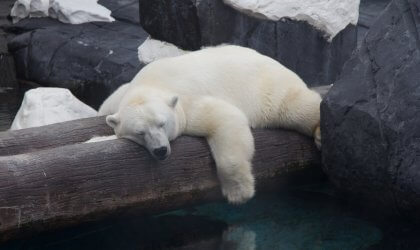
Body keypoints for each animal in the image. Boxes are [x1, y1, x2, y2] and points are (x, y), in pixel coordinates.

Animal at [98, 46, 322, 204]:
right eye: (140, 132)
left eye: (162, 124)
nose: (160, 150)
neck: (151, 83)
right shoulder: (120, 98)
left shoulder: (187, 100)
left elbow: (226, 118)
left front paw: (239, 192)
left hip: (266, 89)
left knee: (293, 106)